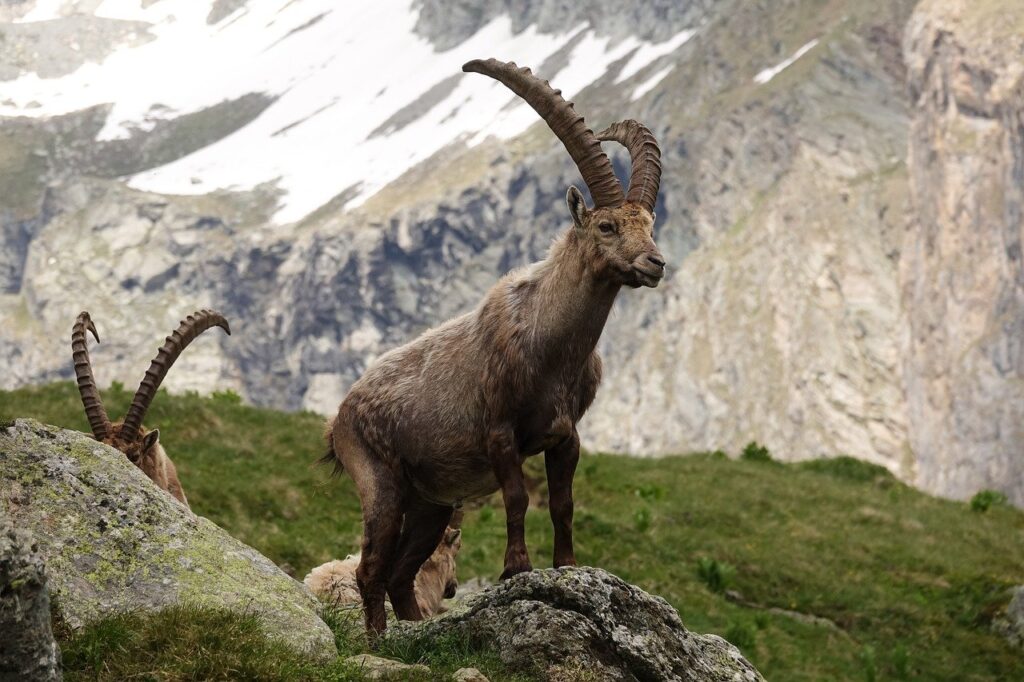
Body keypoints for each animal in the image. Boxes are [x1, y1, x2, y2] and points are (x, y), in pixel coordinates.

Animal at [323, 58, 665, 636]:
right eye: (606, 224)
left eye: (651, 223)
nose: (655, 263)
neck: (553, 346)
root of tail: (340, 416)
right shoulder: (500, 431)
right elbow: (517, 497)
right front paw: (516, 569)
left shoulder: (565, 435)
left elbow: (562, 502)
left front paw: (567, 566)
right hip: (382, 486)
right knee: (371, 569)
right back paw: (377, 640)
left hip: (430, 503)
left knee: (399, 574)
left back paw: (415, 632)